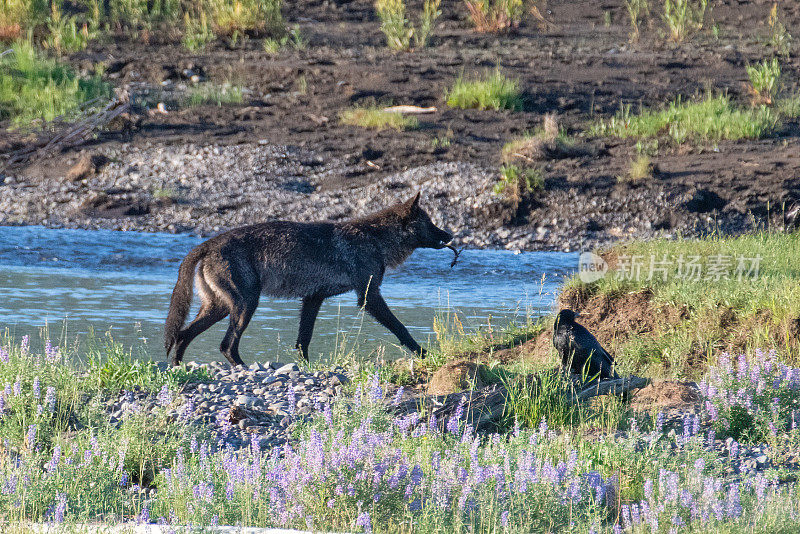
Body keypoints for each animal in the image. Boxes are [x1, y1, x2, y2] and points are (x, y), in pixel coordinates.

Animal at [164, 196, 450, 368]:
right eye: (430, 223)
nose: (450, 235)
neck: (376, 240)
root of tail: (207, 243)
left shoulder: (313, 299)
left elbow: (304, 339)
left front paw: (305, 366)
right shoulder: (368, 298)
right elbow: (401, 328)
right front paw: (423, 353)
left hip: (221, 309)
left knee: (183, 335)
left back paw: (177, 368)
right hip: (245, 306)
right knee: (225, 345)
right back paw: (244, 367)